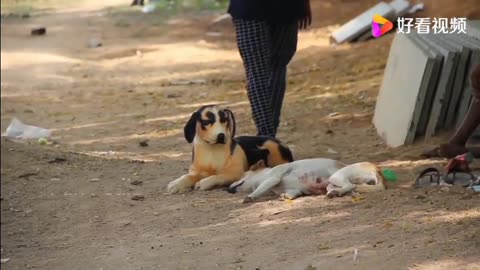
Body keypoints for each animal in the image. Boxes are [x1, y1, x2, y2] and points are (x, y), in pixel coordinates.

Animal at [227, 158, 388, 202]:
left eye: (241, 176)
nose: (226, 188)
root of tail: (376, 168)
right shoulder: (294, 190)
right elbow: (292, 194)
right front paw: (285, 197)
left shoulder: (272, 178)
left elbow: (259, 190)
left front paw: (251, 196)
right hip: (331, 184)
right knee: (348, 188)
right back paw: (335, 194)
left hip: (336, 176)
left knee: (350, 186)